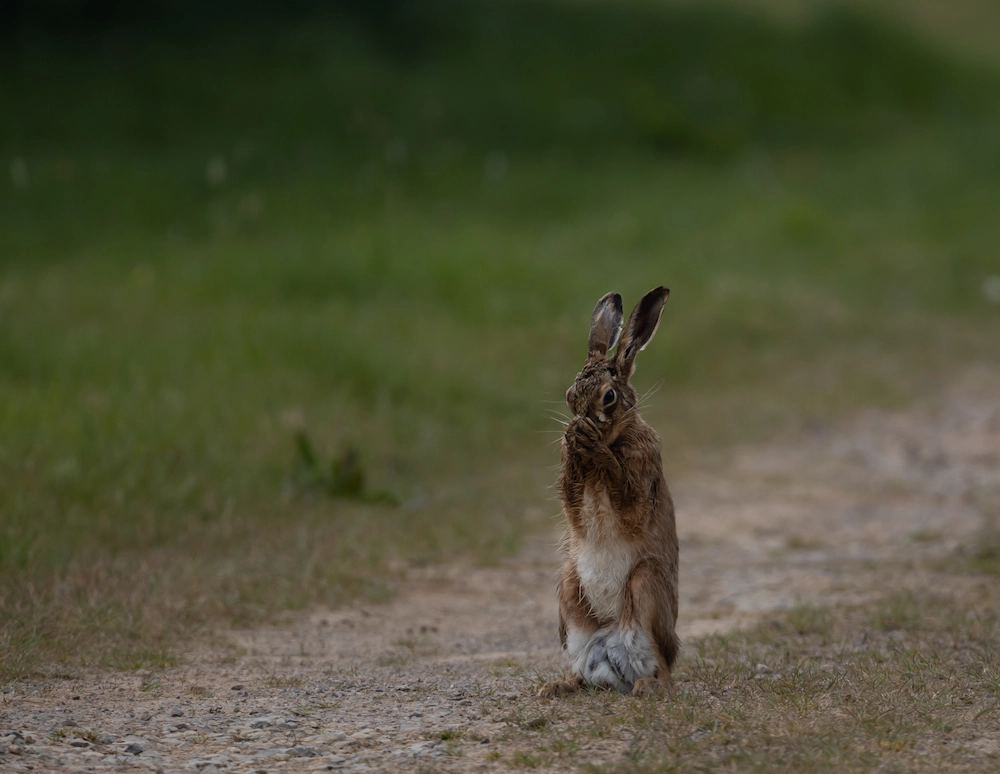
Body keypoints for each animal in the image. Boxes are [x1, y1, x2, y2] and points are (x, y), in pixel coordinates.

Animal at [539, 287, 679, 698]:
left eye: (609, 397)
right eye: (570, 394)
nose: (580, 423)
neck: (615, 437)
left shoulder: (640, 485)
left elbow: (627, 499)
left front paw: (592, 447)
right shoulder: (572, 500)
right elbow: (572, 498)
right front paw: (573, 442)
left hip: (646, 584)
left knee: (664, 668)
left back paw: (648, 686)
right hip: (569, 590)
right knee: (580, 673)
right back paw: (555, 686)